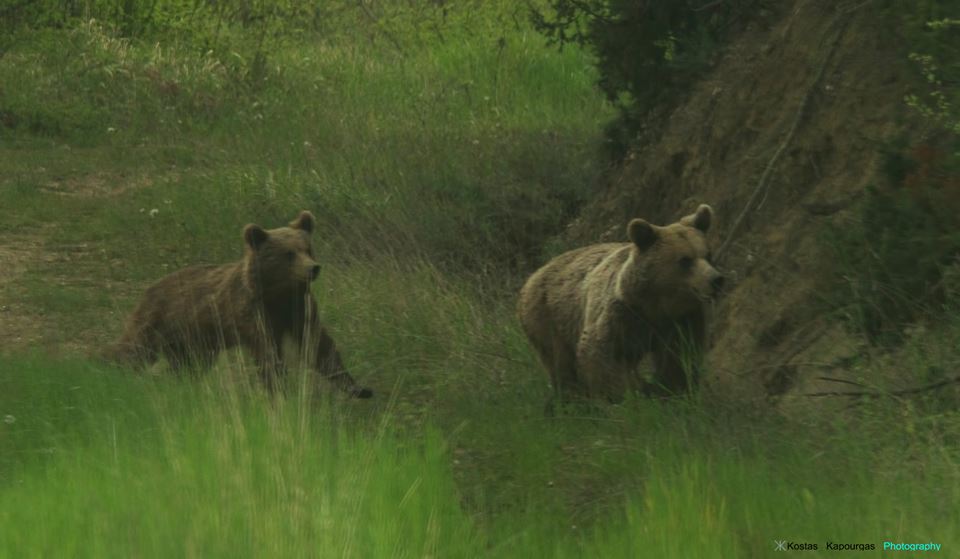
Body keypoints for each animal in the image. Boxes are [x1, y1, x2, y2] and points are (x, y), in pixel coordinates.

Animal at [105, 210, 372, 398]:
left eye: (307, 248)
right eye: (288, 254)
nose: (312, 269)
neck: (278, 295)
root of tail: (150, 287)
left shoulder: (299, 309)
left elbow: (319, 346)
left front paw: (358, 388)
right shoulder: (253, 313)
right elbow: (267, 354)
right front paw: (280, 390)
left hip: (195, 342)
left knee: (186, 366)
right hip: (159, 320)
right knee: (134, 348)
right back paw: (106, 368)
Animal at [516, 203, 720, 404]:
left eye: (708, 255)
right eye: (685, 260)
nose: (716, 280)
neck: (655, 305)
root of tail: (536, 272)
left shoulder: (680, 321)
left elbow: (678, 358)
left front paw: (671, 392)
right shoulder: (622, 313)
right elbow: (601, 351)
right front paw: (628, 395)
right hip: (548, 317)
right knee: (562, 365)